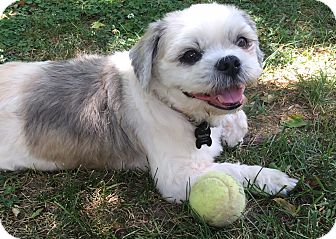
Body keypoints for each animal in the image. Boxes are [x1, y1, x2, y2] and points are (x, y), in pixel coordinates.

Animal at [0, 3, 296, 202]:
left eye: (242, 41)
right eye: (190, 55)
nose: (230, 62)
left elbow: (237, 117)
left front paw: (234, 129)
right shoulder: (177, 177)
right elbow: (231, 172)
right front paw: (272, 178)